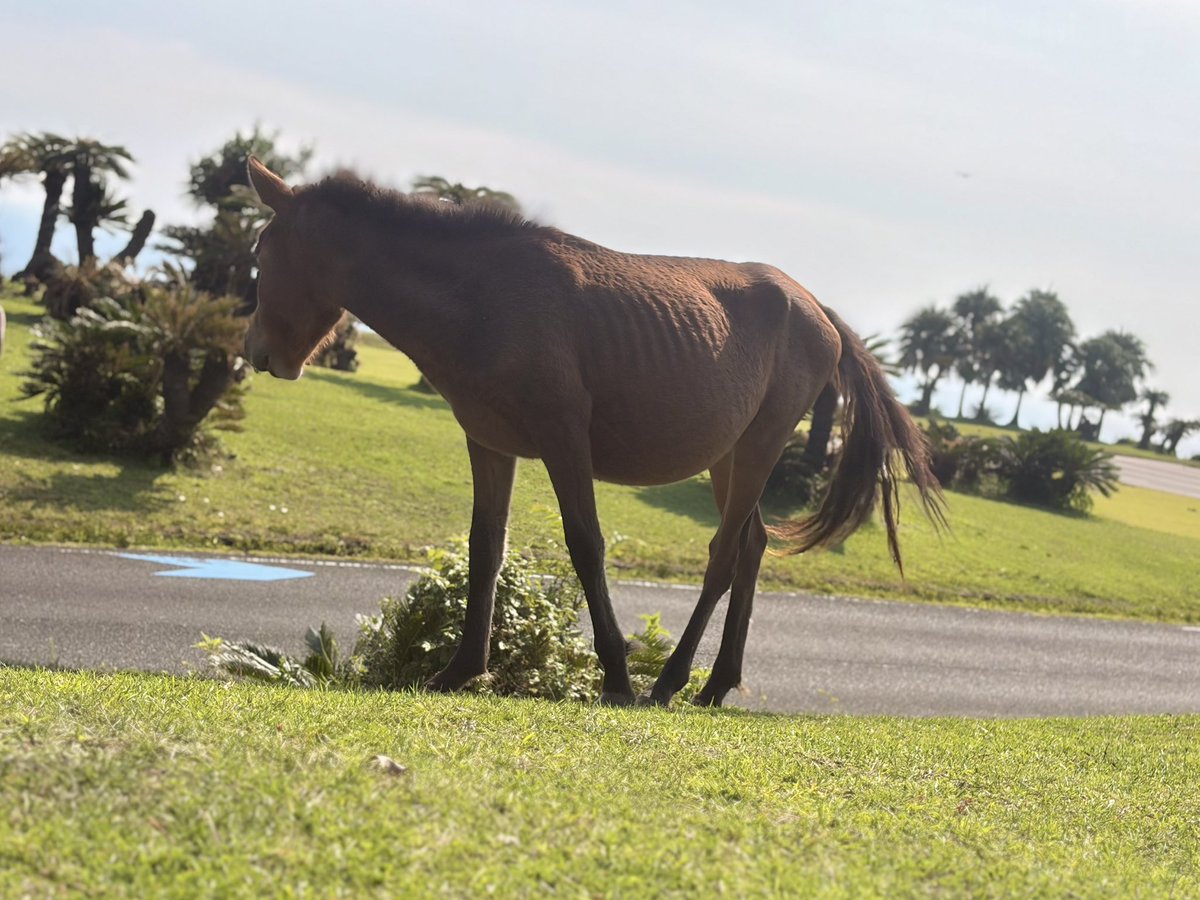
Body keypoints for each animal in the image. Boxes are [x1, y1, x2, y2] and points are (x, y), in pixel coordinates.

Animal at [244, 157, 944, 707]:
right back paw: (716, 683)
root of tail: (816, 306)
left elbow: (586, 545)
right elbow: (485, 547)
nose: (255, 351)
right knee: (751, 547)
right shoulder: (489, 442)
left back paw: (670, 679)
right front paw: (461, 669)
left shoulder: (563, 438)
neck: (481, 292)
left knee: (724, 554)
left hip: (761, 444)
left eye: (258, 252)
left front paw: (616, 675)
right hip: (730, 454)